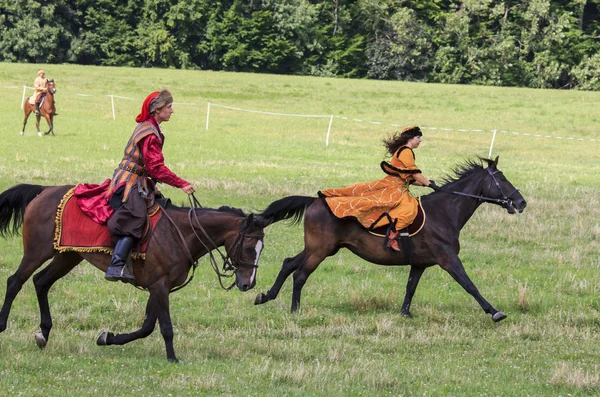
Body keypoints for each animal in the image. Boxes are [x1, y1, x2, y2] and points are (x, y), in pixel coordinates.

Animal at [0, 184, 268, 360]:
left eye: (261, 248)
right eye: (247, 247)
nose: (248, 284)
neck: (180, 232)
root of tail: (45, 190)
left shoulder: (159, 287)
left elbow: (147, 327)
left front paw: (108, 338)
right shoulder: (159, 286)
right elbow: (165, 326)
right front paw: (173, 358)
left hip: (68, 256)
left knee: (41, 282)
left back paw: (43, 334)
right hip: (37, 252)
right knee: (15, 281)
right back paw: (3, 325)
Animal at [255, 156, 528, 320]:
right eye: (501, 178)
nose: (521, 202)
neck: (445, 211)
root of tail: (314, 200)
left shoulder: (419, 263)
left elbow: (410, 288)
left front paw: (405, 313)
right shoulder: (448, 259)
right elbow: (469, 285)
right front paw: (494, 312)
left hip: (320, 248)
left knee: (288, 263)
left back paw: (265, 296)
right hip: (319, 251)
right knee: (300, 274)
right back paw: (295, 310)